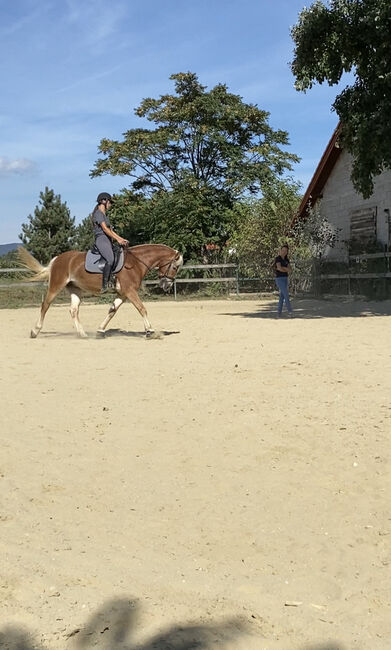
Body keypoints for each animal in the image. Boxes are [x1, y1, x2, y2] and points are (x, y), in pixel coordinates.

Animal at [17, 244, 184, 340]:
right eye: (175, 267)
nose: (166, 285)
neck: (136, 263)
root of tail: (58, 259)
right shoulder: (130, 291)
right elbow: (142, 308)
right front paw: (150, 331)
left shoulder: (122, 294)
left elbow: (112, 311)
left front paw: (100, 331)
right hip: (56, 286)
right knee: (45, 305)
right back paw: (35, 331)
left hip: (75, 289)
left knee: (73, 310)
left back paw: (82, 334)